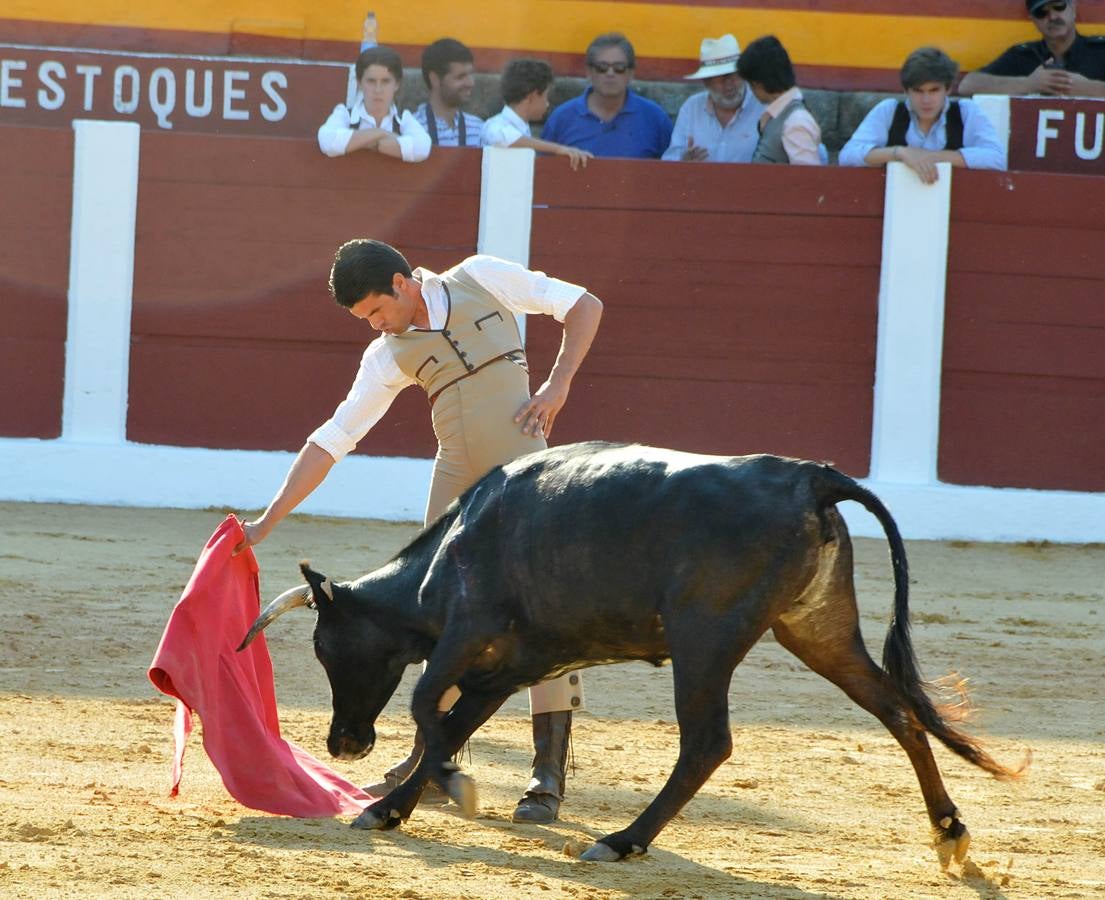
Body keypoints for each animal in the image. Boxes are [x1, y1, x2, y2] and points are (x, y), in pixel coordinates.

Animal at [241, 444, 1016, 866]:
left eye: (324, 647)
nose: (342, 744)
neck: (453, 546)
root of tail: (811, 477)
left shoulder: (467, 632)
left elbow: (428, 708)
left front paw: (437, 787)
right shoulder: (517, 664)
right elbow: (454, 721)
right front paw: (393, 806)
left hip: (703, 639)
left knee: (706, 742)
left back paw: (621, 841)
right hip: (817, 630)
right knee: (896, 708)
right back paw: (949, 831)